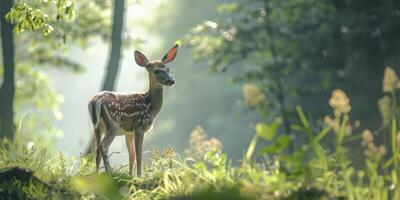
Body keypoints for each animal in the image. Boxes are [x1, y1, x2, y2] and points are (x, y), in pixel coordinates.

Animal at [90, 45, 179, 177]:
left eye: (168, 69)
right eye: (156, 70)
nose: (171, 81)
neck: (150, 105)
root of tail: (96, 101)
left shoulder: (129, 132)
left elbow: (131, 156)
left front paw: (130, 176)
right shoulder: (140, 126)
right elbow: (139, 155)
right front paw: (139, 176)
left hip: (96, 126)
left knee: (97, 148)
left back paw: (96, 174)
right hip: (113, 124)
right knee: (104, 146)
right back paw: (109, 172)